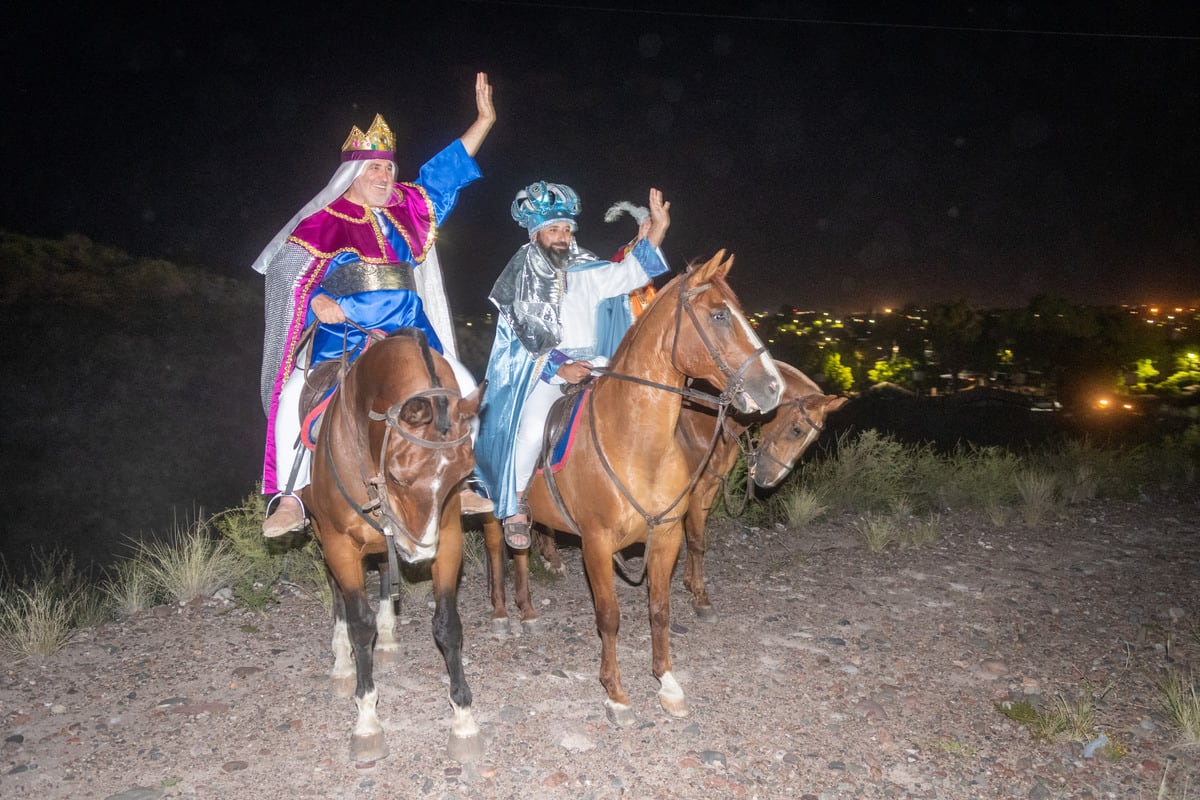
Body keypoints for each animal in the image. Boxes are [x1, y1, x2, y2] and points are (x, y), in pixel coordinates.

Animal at [302, 331, 484, 762]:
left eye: (463, 474)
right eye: (399, 476)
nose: (420, 554)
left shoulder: (447, 537)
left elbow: (448, 625)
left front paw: (463, 718)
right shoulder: (340, 545)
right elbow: (358, 623)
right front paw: (367, 719)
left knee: (386, 570)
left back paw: (386, 638)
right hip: (324, 535)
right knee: (338, 595)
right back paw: (342, 663)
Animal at [494, 250, 782, 724]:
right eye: (719, 315)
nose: (773, 387)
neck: (635, 442)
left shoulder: (665, 536)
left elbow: (659, 610)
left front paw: (667, 683)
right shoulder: (595, 544)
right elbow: (609, 617)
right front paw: (615, 694)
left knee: (520, 553)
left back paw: (528, 610)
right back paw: (503, 611)